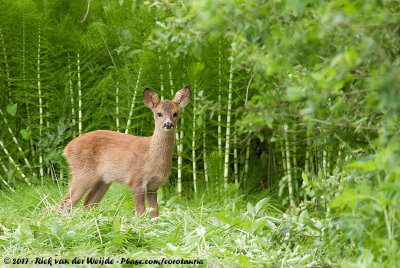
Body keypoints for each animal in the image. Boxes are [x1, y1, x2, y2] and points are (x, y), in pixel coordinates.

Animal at [59, 86, 191, 218]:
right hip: (83, 173)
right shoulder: (136, 180)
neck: (151, 156)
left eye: (175, 113)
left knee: (87, 203)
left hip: (103, 180)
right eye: (159, 113)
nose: (168, 124)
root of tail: (67, 149)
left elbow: (155, 212)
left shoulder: (153, 185)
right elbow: (140, 212)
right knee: (65, 203)